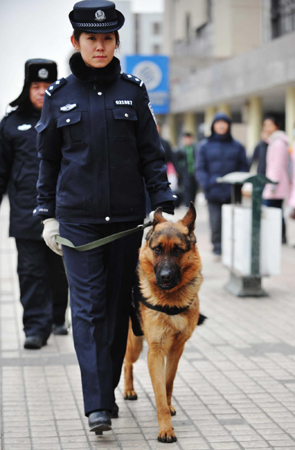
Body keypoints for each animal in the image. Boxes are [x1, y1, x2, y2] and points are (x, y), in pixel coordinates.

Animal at [123, 203, 205, 442]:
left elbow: (168, 383)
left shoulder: (177, 349)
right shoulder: (156, 352)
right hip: (135, 343)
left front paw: (169, 407)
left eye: (177, 250)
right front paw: (165, 429)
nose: (166, 277)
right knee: (127, 362)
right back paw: (128, 390)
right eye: (158, 249)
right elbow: (159, 392)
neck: (170, 301)